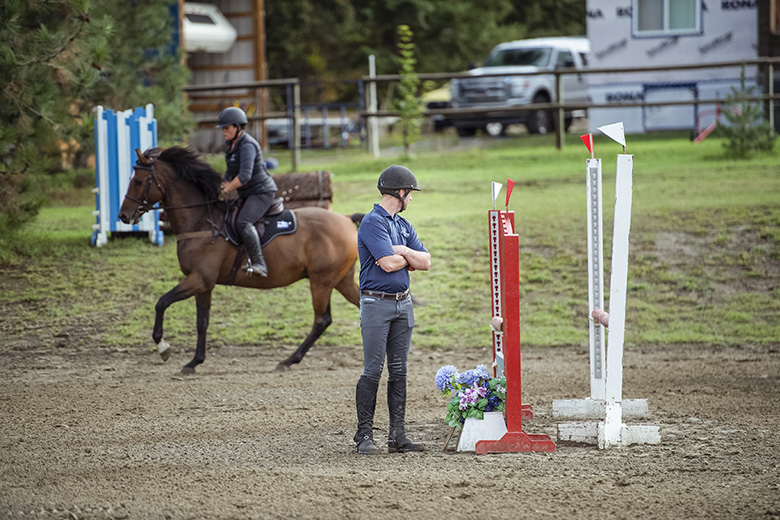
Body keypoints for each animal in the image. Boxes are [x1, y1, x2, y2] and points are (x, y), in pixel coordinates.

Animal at [117, 146, 362, 374]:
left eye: (138, 181)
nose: (123, 216)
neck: (201, 222)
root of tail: (345, 219)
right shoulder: (204, 284)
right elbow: (202, 322)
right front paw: (194, 362)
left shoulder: (199, 279)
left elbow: (161, 303)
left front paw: (163, 348)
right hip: (340, 281)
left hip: (321, 281)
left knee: (321, 320)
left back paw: (289, 360)